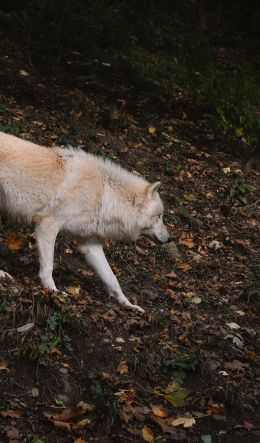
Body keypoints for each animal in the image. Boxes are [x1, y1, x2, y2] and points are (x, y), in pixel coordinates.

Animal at [0, 132, 170, 312]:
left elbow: (113, 279)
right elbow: (48, 267)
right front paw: (53, 292)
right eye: (159, 216)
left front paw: (129, 305)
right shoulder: (47, 225)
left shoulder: (89, 244)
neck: (103, 194)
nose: (169, 238)